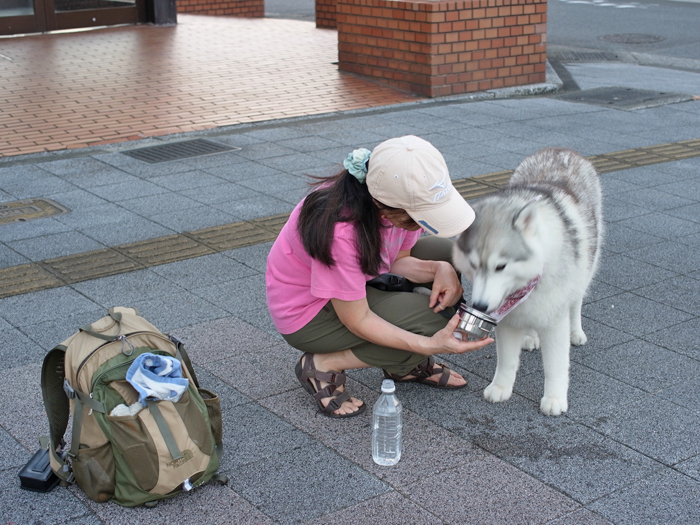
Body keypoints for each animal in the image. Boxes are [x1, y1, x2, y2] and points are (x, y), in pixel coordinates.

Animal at [454, 146, 600, 414]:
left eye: (500, 266)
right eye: (473, 265)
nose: (480, 306)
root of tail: (560, 150)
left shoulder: (554, 320)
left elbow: (555, 364)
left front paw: (554, 397)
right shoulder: (508, 319)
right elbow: (506, 360)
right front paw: (501, 387)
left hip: (587, 266)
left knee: (576, 301)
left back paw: (576, 331)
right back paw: (531, 336)